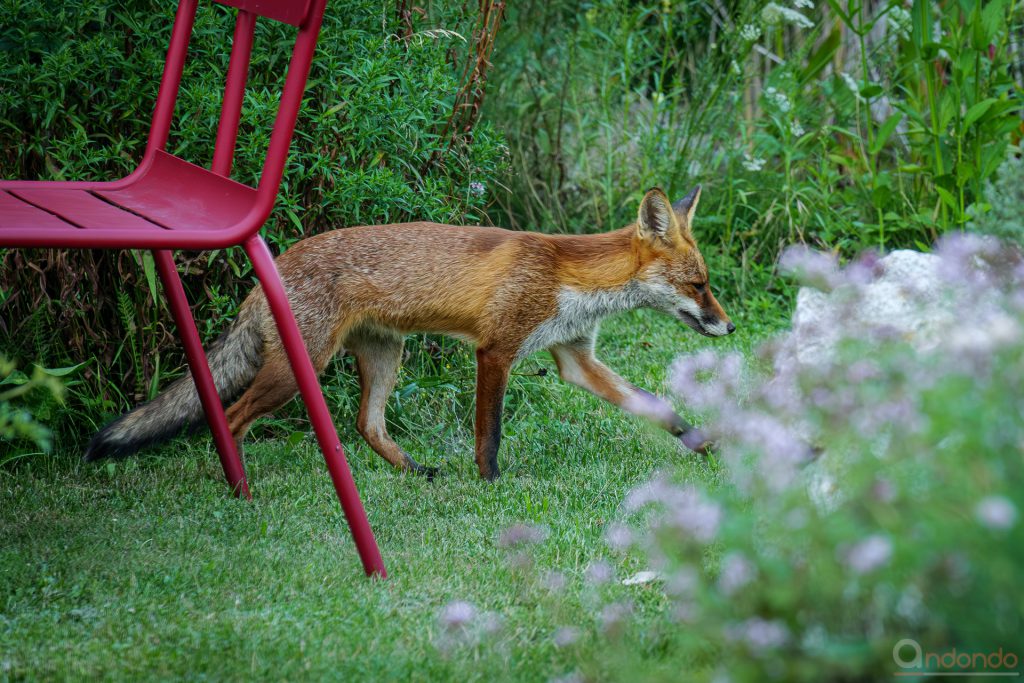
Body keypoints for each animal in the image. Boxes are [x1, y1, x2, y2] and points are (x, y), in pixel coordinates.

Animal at [83, 184, 733, 479]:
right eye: (699, 284)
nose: (728, 326)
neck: (567, 276)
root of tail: (270, 269)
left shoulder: (575, 358)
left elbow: (657, 407)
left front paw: (703, 444)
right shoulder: (496, 350)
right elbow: (489, 434)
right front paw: (491, 485)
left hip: (384, 358)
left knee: (365, 425)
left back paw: (416, 473)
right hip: (298, 370)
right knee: (235, 416)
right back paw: (241, 486)